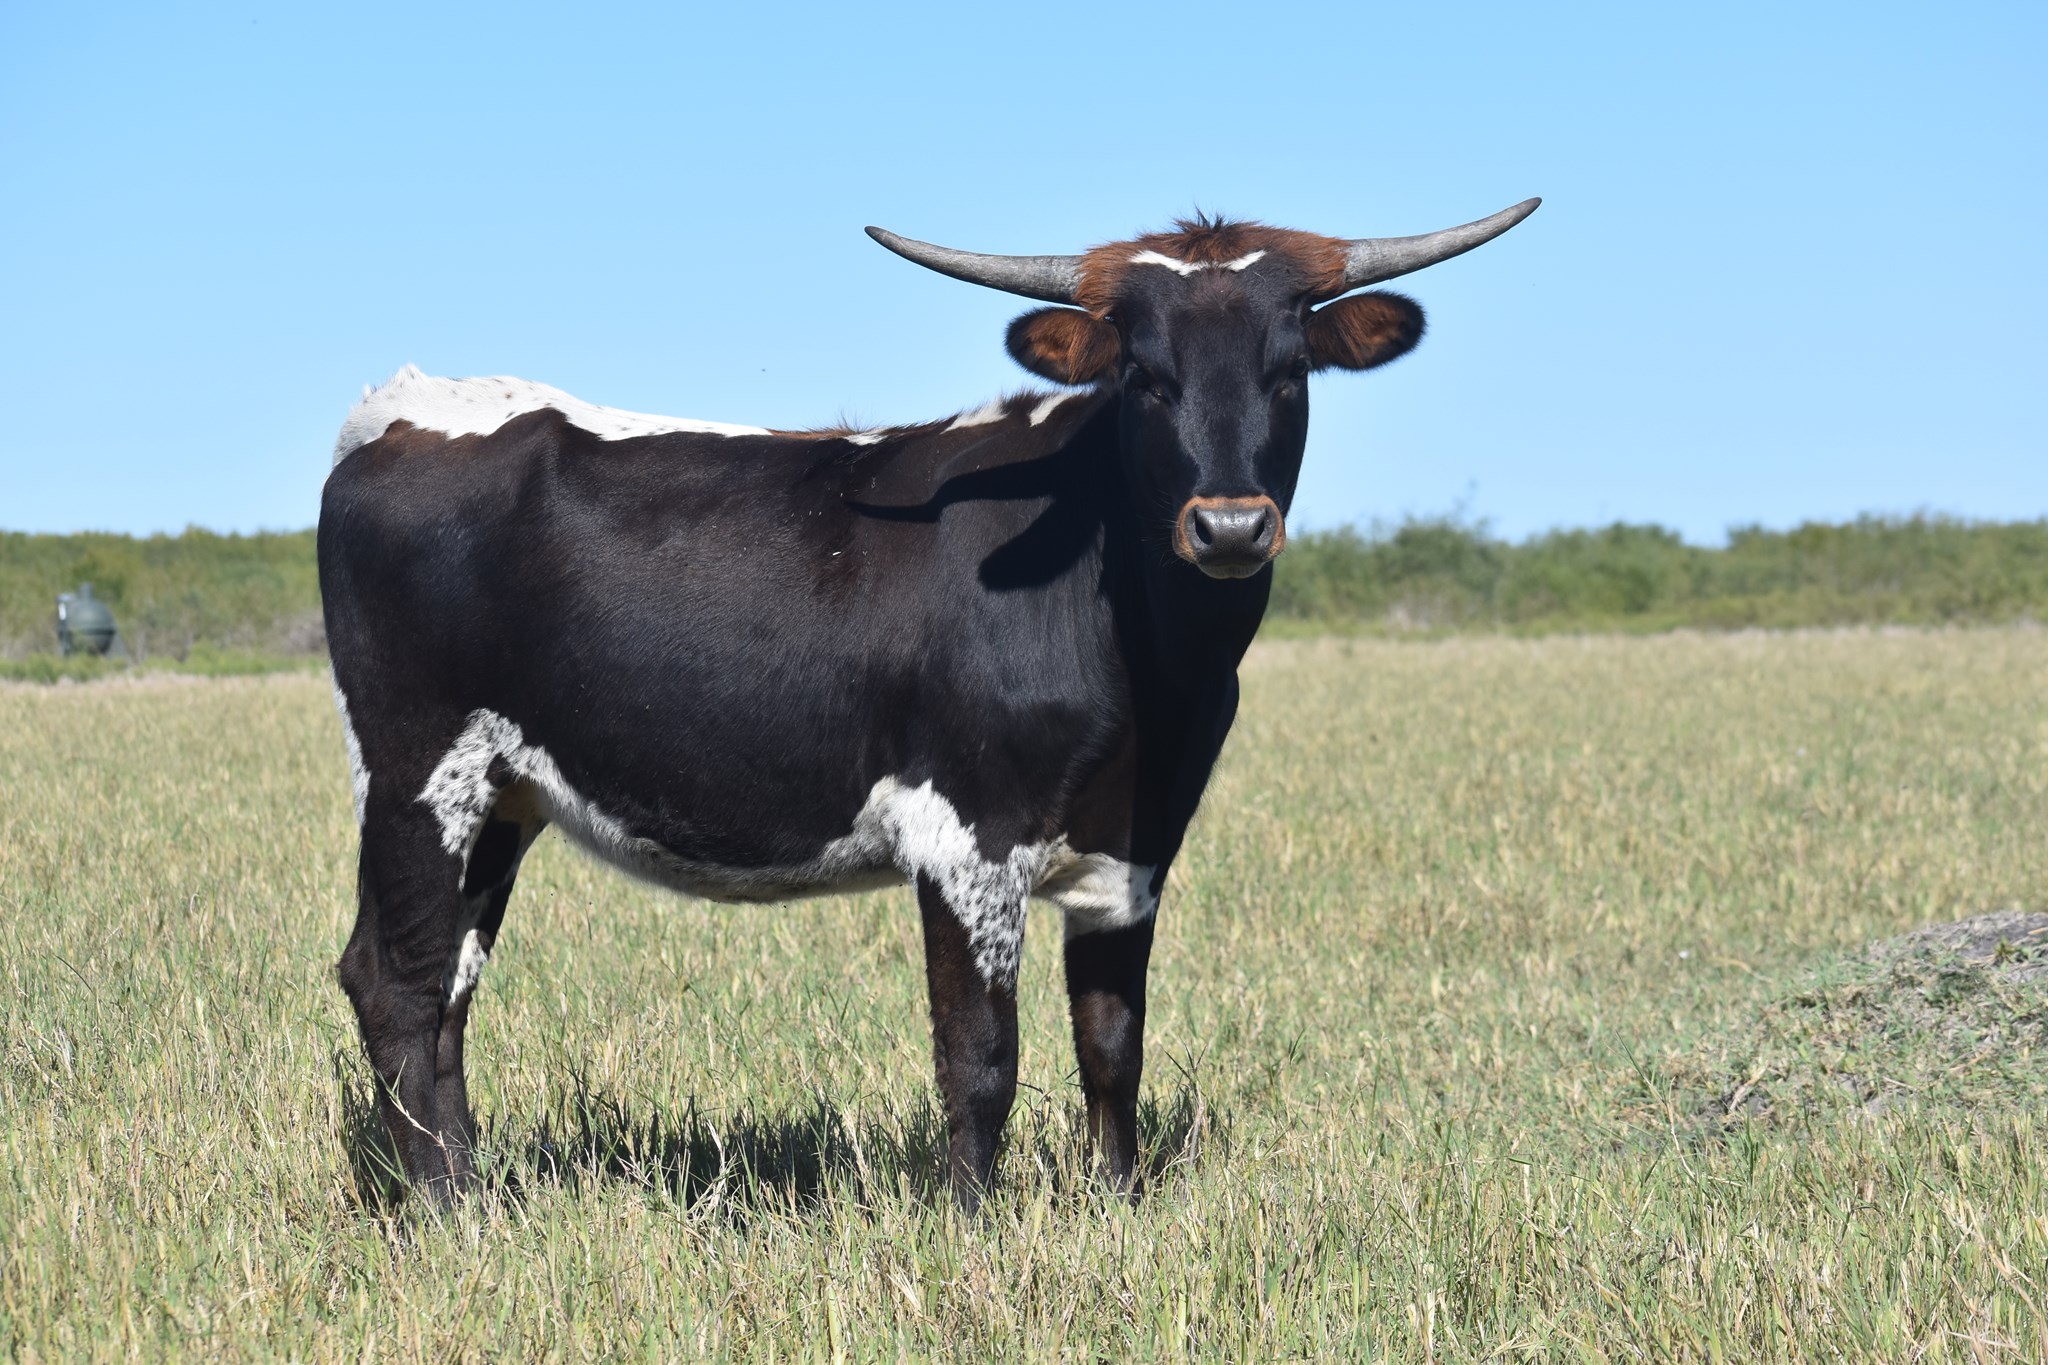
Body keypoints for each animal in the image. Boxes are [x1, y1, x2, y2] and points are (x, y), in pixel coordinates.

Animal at [319, 198, 1538, 1209]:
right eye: (1144, 375)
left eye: (1291, 370)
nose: (1230, 525)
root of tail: (400, 409)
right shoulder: (968, 836)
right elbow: (980, 1056)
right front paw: (970, 1227)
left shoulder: (1132, 848)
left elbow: (1112, 1045)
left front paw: (1121, 1210)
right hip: (420, 768)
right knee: (399, 980)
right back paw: (447, 1211)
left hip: (507, 793)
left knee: (448, 984)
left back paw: (477, 1188)